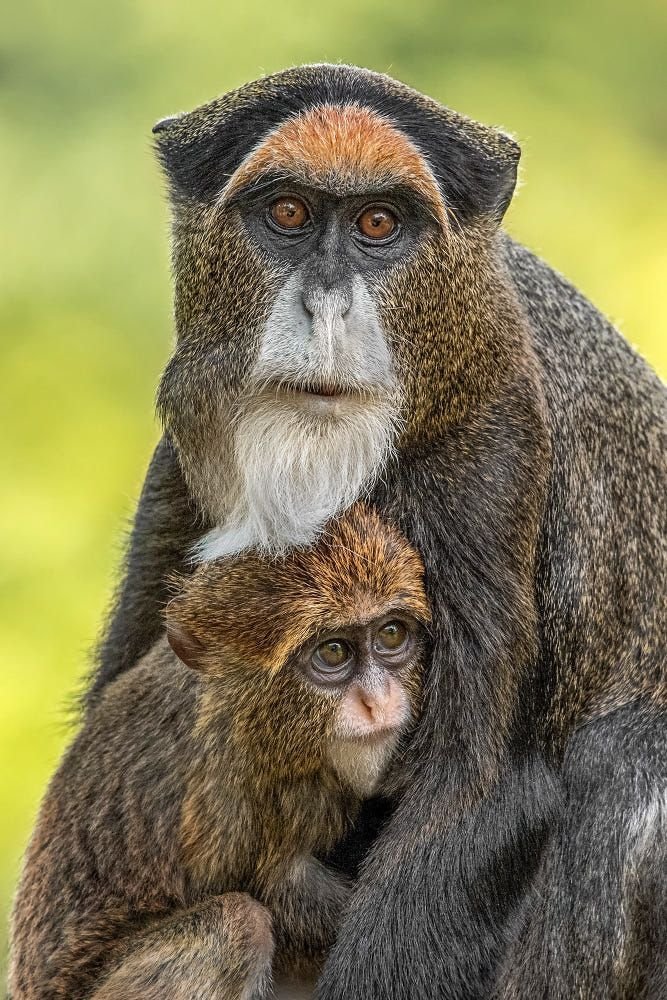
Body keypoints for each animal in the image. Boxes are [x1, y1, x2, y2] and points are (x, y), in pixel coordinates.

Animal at [8, 503, 430, 1000]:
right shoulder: (232, 788)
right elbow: (284, 894)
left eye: (390, 635)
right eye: (332, 652)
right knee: (238, 925)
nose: (377, 699)